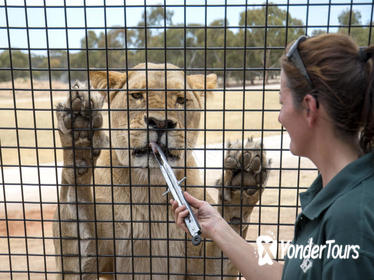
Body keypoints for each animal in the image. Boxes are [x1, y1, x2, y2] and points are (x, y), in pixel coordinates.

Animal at [52, 62, 268, 278]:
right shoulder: (90, 261)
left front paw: (242, 181)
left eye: (181, 99)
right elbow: (74, 203)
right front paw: (79, 130)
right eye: (137, 95)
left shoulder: (205, 269)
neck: (150, 187)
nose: (161, 123)